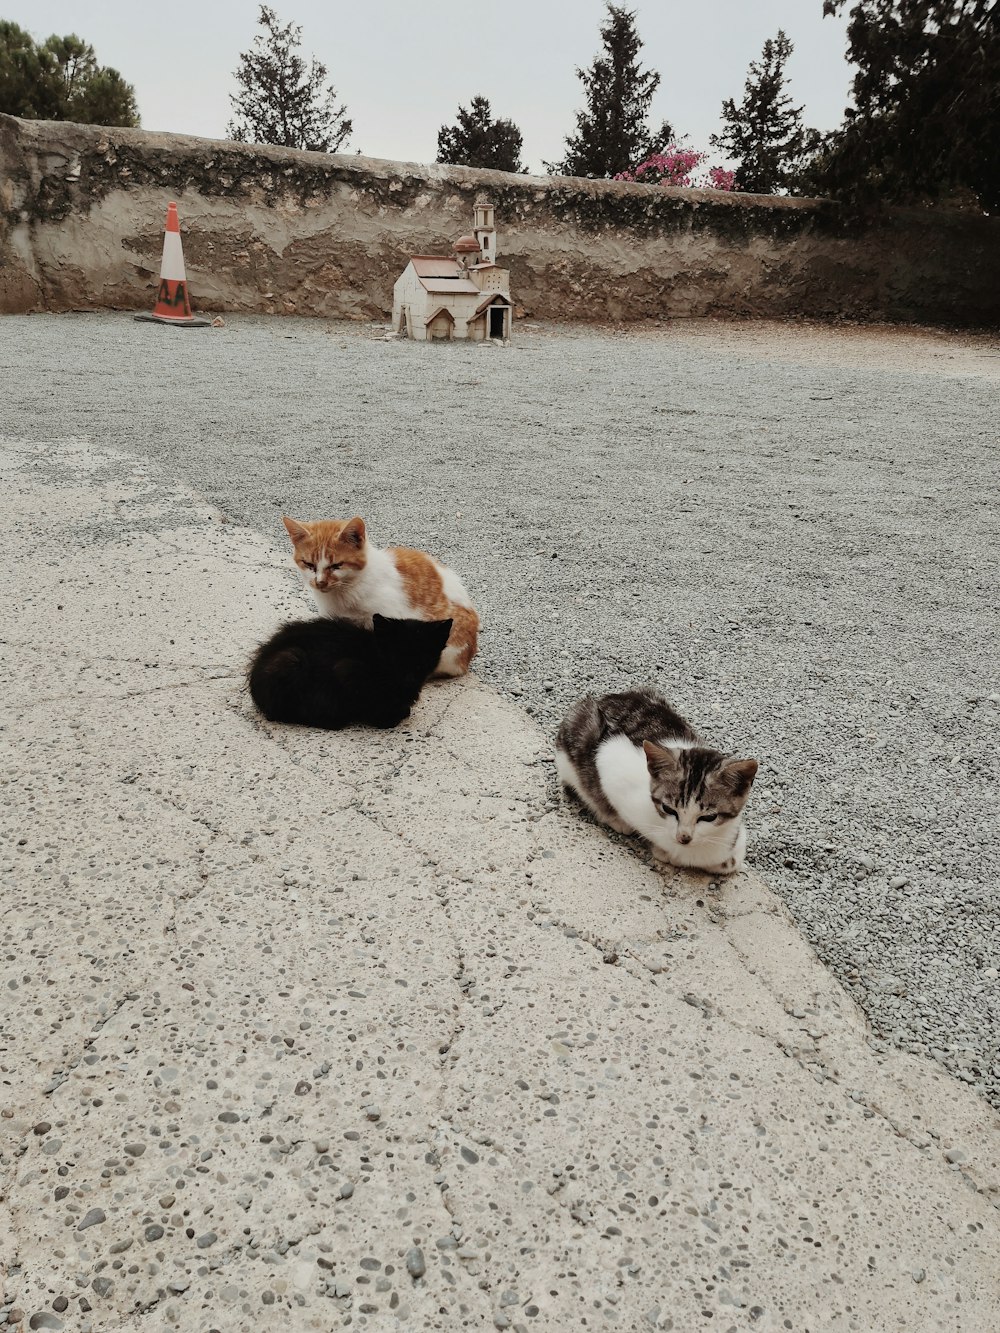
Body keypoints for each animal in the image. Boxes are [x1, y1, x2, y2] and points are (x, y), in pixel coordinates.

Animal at [249, 613, 453, 730]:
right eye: (396, 656)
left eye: (424, 658)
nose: (410, 677)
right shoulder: (347, 671)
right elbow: (368, 703)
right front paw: (387, 718)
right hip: (291, 660)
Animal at [557, 687, 757, 874]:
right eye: (669, 809)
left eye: (709, 817)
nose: (683, 837)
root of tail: (604, 698)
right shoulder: (611, 760)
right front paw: (661, 850)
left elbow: (732, 861)